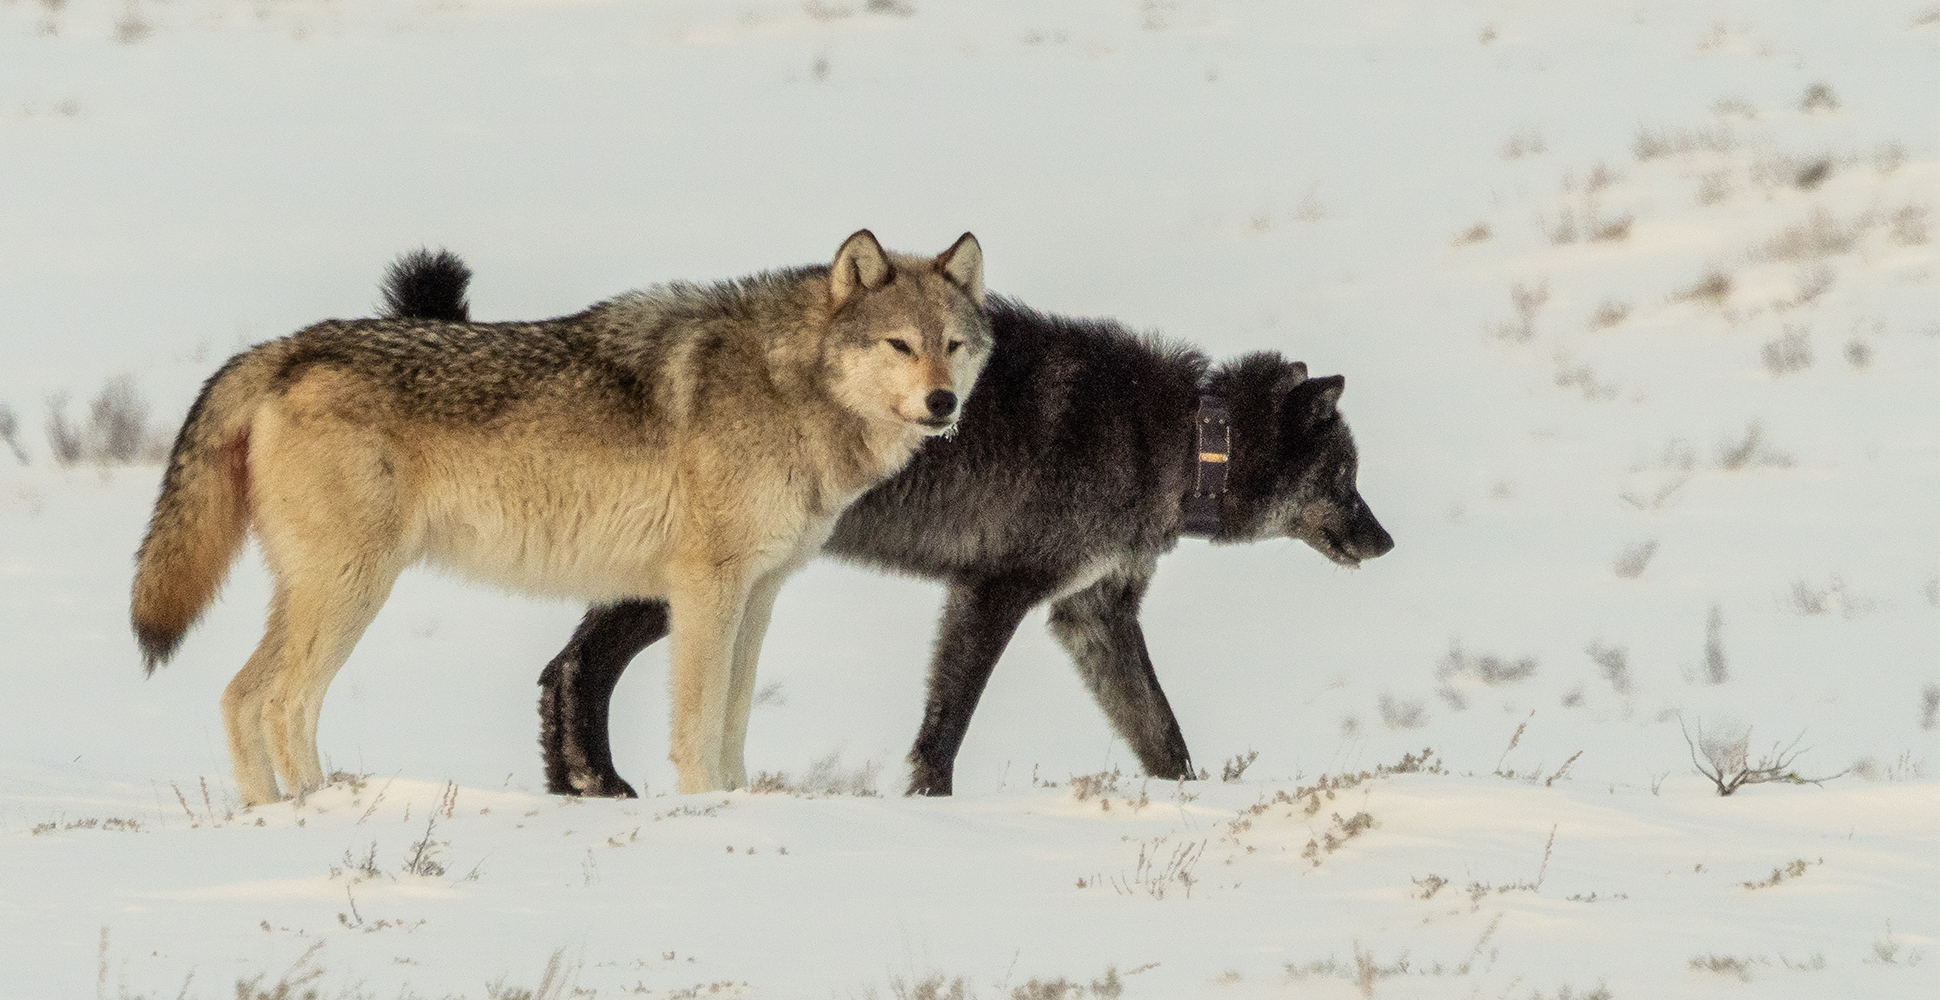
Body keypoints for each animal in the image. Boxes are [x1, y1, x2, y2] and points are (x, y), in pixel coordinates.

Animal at [131, 231, 990, 805]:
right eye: (899, 345)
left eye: (953, 345)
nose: (943, 404)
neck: (791, 387)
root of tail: (283, 348)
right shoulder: (706, 587)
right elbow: (698, 722)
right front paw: (705, 806)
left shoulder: (760, 594)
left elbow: (735, 719)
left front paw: (736, 800)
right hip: (352, 590)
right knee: (285, 702)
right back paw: (326, 805)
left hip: (317, 591)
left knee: (240, 696)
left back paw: (273, 815)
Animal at [381, 251, 1394, 797]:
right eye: (1346, 476)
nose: (1386, 542)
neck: (1181, 434)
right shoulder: (994, 594)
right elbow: (947, 721)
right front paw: (929, 802)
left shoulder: (1090, 613)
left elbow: (1162, 732)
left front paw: (1188, 799)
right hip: (695, 581)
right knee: (576, 667)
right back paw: (599, 784)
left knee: (562, 666)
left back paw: (582, 791)